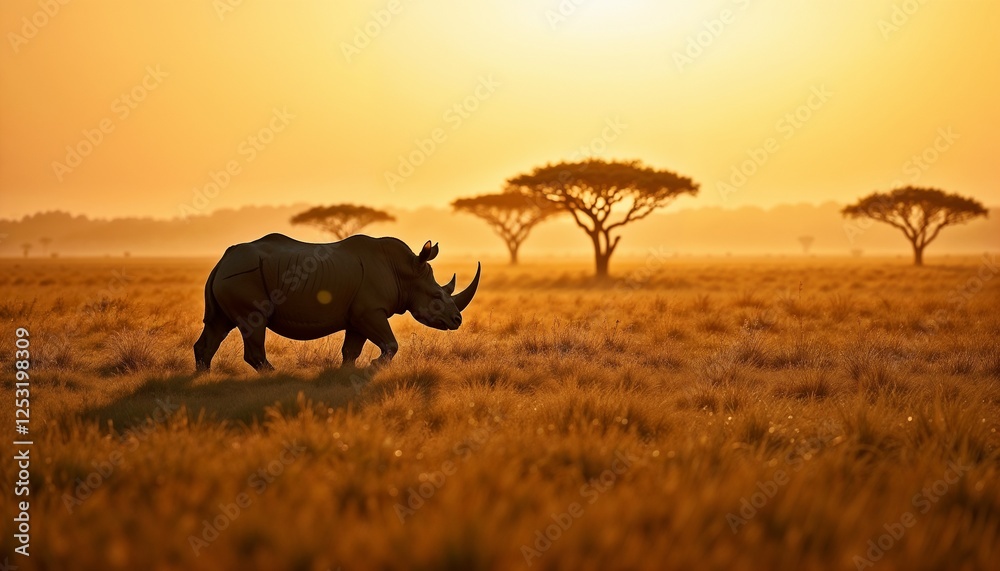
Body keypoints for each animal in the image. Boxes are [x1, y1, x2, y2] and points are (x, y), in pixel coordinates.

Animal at [193, 233, 480, 372]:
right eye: (437, 297)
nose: (457, 320)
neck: (406, 272)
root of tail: (222, 259)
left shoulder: (359, 314)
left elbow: (351, 350)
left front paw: (345, 372)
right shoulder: (370, 312)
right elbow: (390, 344)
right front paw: (375, 365)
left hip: (233, 273)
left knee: (218, 325)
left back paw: (202, 375)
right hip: (244, 275)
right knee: (254, 322)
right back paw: (273, 374)